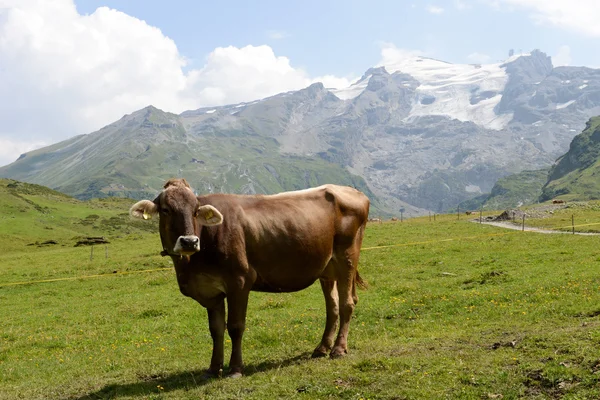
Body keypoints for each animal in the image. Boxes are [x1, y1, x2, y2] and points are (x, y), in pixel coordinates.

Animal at [130, 178, 370, 378]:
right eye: (165, 209)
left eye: (196, 210)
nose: (189, 241)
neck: (191, 266)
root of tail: (353, 191)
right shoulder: (211, 290)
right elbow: (215, 329)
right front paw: (213, 369)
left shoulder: (239, 281)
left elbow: (236, 326)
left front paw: (235, 369)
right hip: (327, 268)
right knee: (333, 306)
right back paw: (322, 348)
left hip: (347, 256)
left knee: (347, 303)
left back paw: (338, 349)